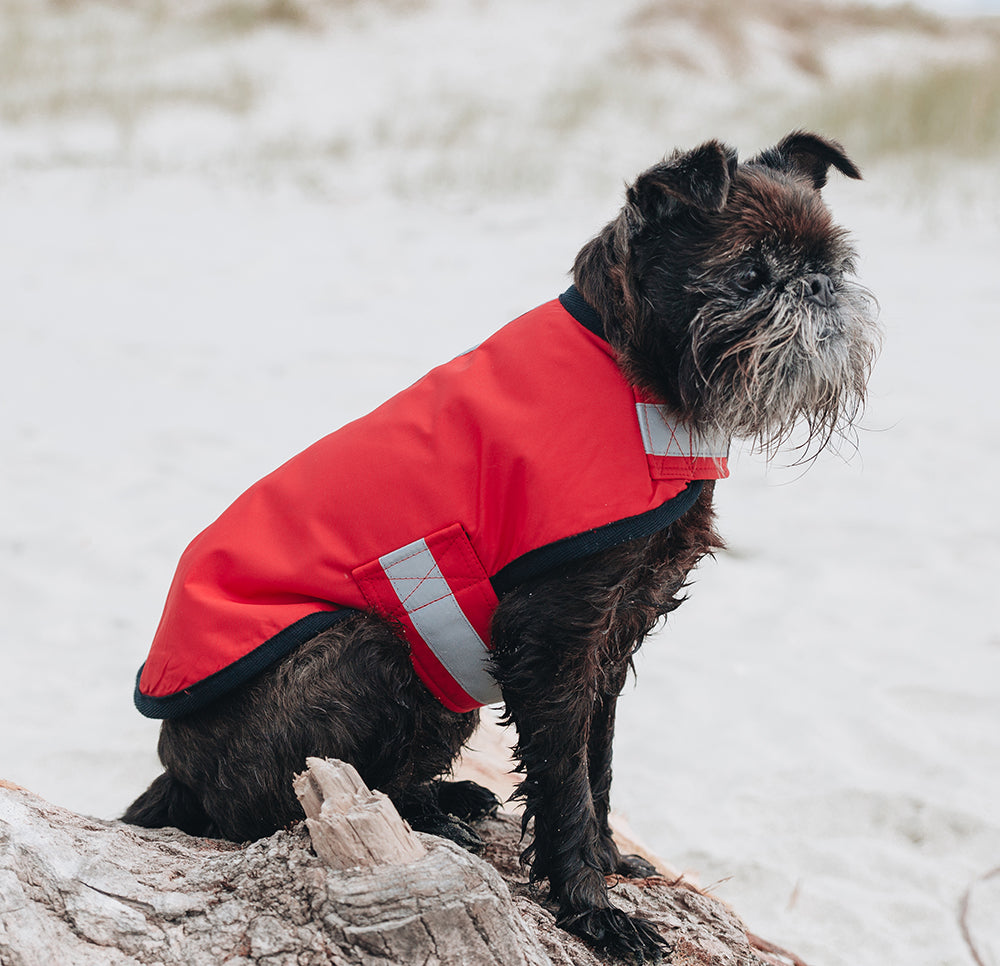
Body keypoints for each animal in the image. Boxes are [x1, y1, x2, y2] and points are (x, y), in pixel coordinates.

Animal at [123, 132, 876, 964]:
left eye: (836, 263)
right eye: (749, 273)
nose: (819, 289)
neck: (632, 369)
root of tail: (176, 764)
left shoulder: (611, 640)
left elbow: (595, 764)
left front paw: (609, 862)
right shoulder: (553, 644)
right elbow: (564, 782)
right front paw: (592, 910)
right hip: (375, 647)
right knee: (262, 813)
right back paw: (429, 815)